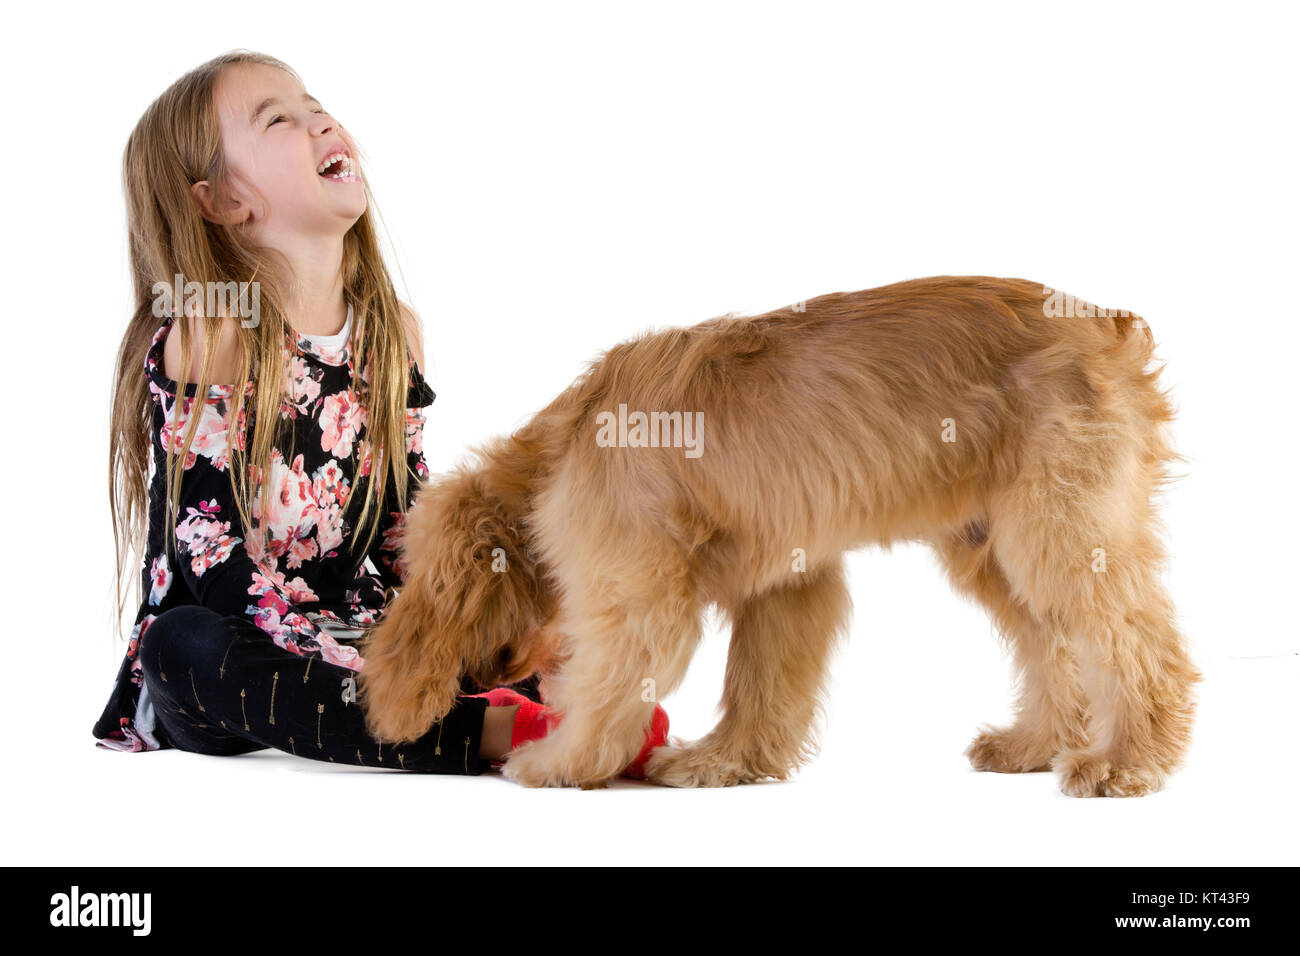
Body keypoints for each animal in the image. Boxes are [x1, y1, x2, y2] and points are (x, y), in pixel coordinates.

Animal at [353, 278, 1196, 801]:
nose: (479, 675)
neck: (567, 443)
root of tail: (1110, 325)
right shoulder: (788, 586)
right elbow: (760, 684)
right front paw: (724, 762)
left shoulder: (638, 593)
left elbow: (608, 684)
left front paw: (559, 762)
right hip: (995, 547)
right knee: (1052, 647)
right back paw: (1036, 746)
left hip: (1057, 533)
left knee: (1139, 643)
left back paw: (1126, 762)